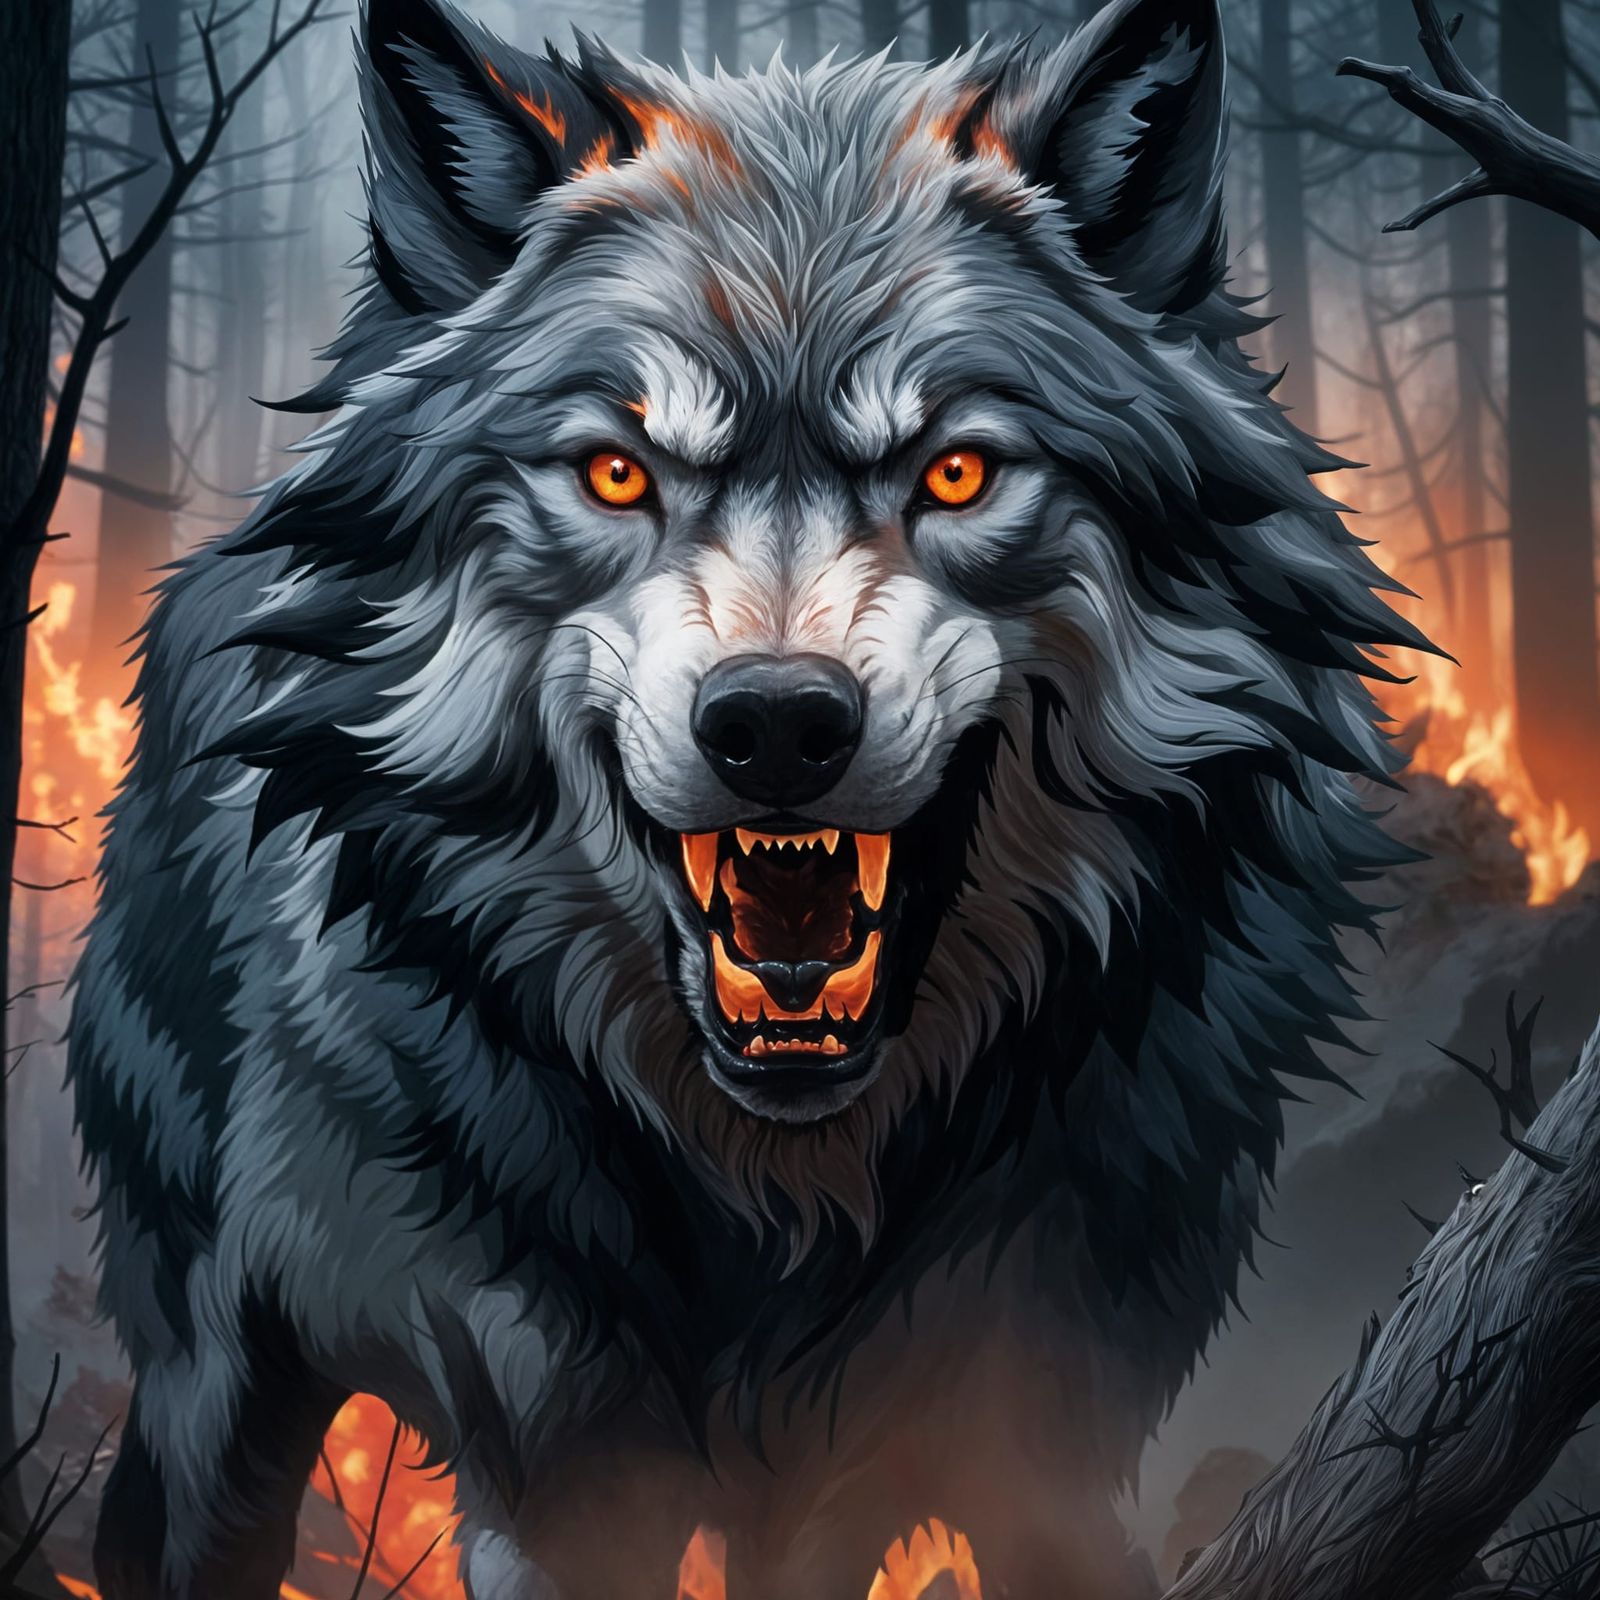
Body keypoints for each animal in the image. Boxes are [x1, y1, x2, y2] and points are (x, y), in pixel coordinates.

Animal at [68, 0, 1423, 1595]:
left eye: (955, 473)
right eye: (614, 471)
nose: (777, 725)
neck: (780, 1199)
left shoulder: (1020, 1429)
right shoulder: (554, 1472)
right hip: (220, 1377)